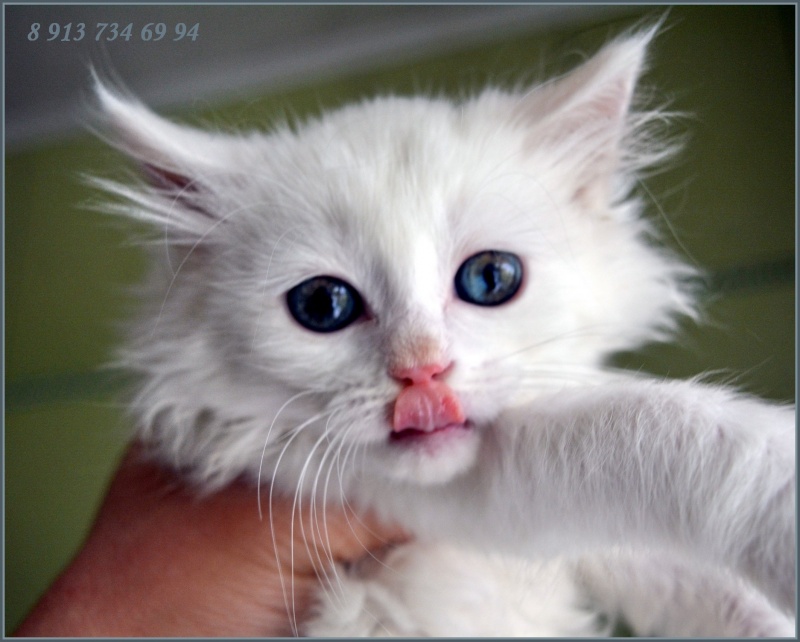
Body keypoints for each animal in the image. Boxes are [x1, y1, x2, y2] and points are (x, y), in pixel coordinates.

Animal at [90, 24, 795, 637]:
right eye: (322, 305)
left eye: (490, 279)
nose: (421, 371)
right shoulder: (426, 497)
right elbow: (658, 428)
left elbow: (697, 579)